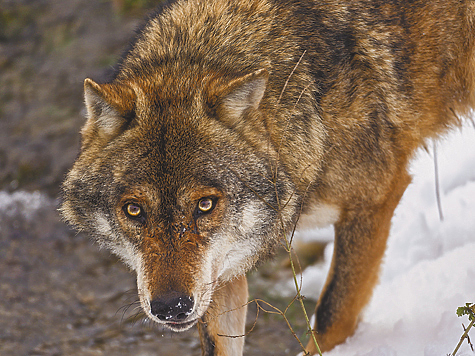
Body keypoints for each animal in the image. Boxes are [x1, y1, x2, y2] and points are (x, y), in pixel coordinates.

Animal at [59, 0, 475, 354]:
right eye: (133, 210)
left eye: (205, 204)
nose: (171, 306)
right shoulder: (222, 271)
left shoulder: (373, 201)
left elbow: (331, 315)